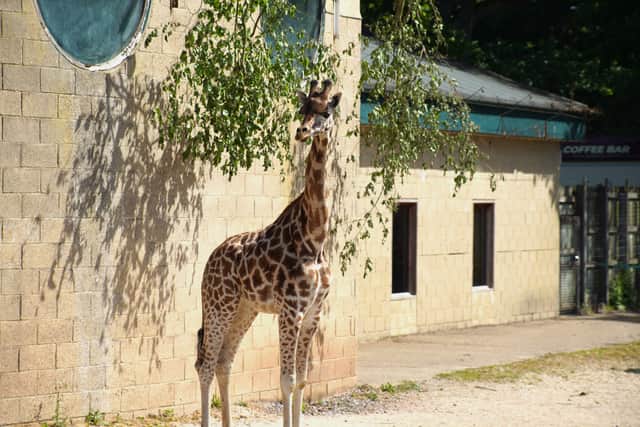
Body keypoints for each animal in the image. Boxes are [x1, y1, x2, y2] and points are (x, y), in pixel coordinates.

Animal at [195, 79, 342, 427]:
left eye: (326, 111)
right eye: (303, 108)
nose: (302, 131)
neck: (315, 237)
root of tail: (210, 259)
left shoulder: (313, 311)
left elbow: (302, 379)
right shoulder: (291, 310)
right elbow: (286, 380)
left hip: (244, 309)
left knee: (223, 361)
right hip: (218, 305)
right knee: (205, 364)